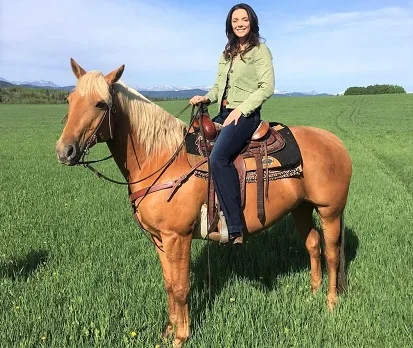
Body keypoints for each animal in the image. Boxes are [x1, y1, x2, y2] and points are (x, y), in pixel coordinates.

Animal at [54, 58, 350, 346]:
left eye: (101, 104)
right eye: (70, 100)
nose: (64, 151)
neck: (161, 158)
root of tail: (336, 141)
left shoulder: (178, 236)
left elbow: (181, 287)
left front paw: (181, 336)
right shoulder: (159, 238)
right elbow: (169, 284)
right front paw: (168, 330)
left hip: (330, 212)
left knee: (332, 253)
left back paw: (331, 303)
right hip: (301, 208)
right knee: (313, 244)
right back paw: (313, 293)